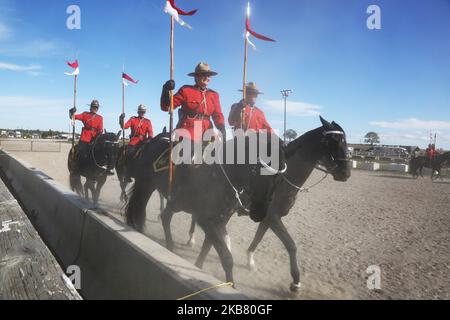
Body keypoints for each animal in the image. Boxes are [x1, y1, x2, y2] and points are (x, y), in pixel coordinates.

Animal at [125, 130, 286, 284]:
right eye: (255, 169)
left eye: (279, 179)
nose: (260, 213)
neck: (221, 176)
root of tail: (151, 142)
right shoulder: (205, 219)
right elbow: (226, 257)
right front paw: (231, 284)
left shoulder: (220, 220)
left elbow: (207, 247)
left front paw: (199, 266)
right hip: (145, 186)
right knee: (138, 209)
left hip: (174, 202)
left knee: (165, 217)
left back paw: (170, 247)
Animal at [186, 117, 352, 292]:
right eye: (333, 141)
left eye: (345, 141)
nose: (346, 173)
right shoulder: (273, 217)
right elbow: (291, 245)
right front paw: (296, 281)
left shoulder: (267, 218)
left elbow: (258, 238)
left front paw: (250, 260)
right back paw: (192, 239)